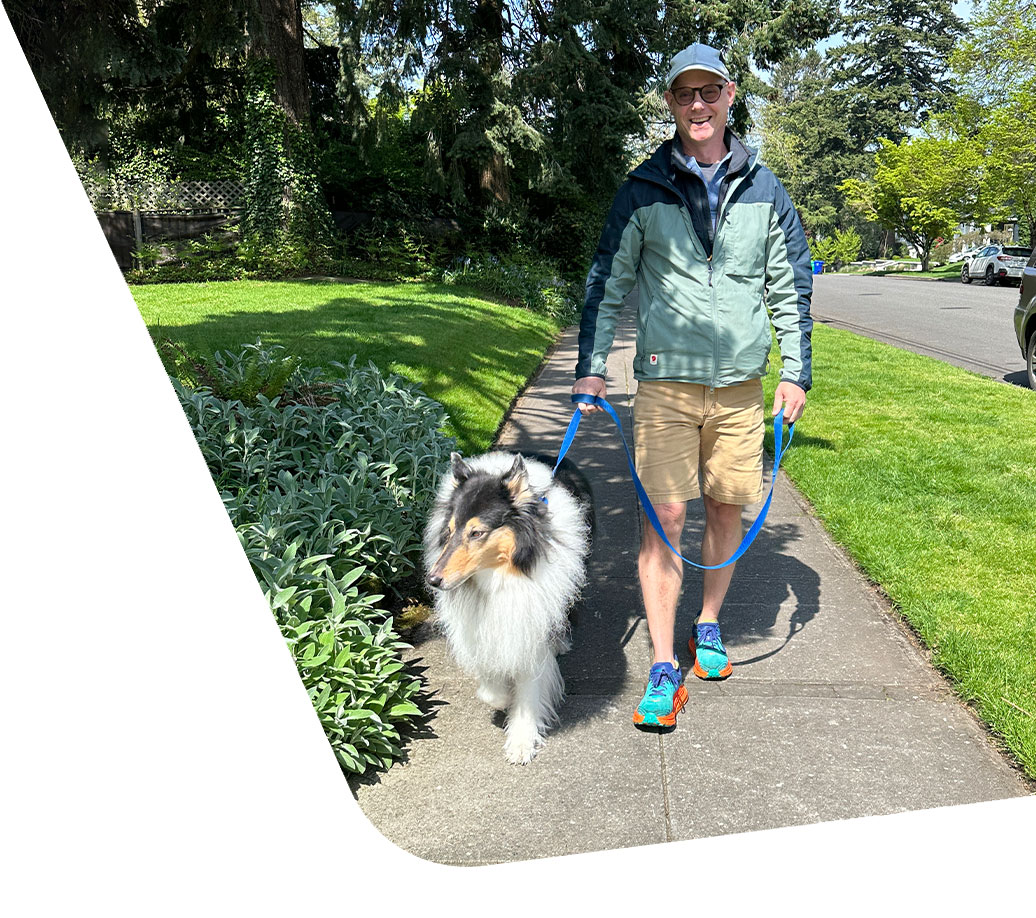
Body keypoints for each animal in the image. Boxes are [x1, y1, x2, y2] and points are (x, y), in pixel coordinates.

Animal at [422, 449, 592, 766]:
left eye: (477, 533)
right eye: (449, 531)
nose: (433, 580)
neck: (500, 577)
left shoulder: (531, 627)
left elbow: (528, 690)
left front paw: (521, 742)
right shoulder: (483, 624)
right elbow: (490, 681)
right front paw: (499, 696)